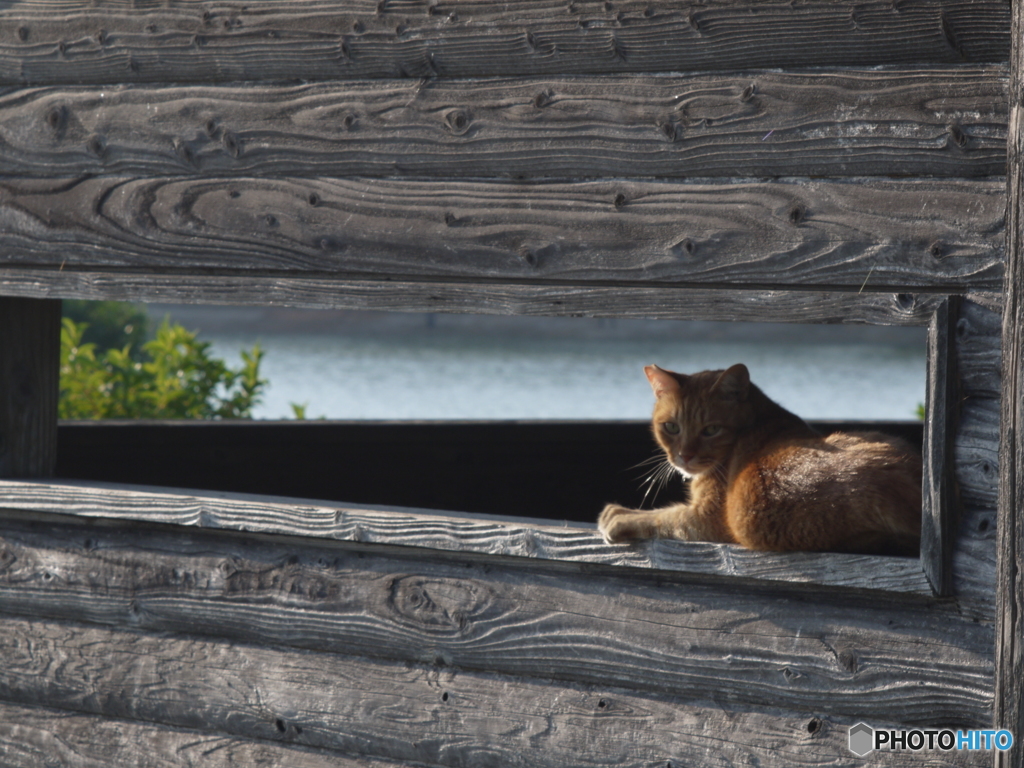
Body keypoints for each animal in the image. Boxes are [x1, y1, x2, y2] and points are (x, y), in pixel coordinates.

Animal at [598, 364, 925, 557]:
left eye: (711, 430)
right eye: (671, 427)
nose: (685, 456)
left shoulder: (708, 521)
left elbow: (663, 517)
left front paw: (620, 515)